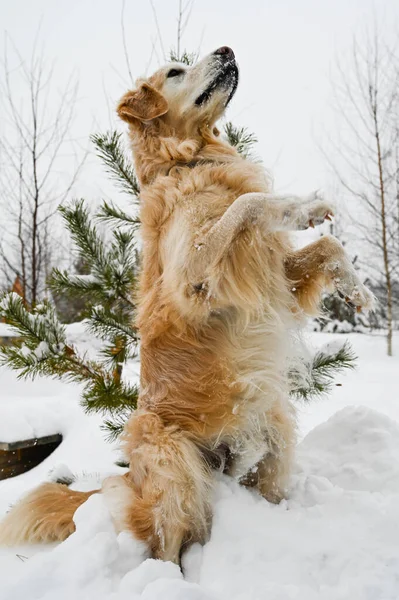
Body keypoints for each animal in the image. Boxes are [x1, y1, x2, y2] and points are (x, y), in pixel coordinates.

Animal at [0, 48, 376, 568]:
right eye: (175, 73)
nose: (227, 50)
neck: (190, 160)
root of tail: (130, 476)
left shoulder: (275, 274)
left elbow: (326, 246)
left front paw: (359, 293)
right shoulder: (192, 278)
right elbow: (250, 203)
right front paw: (294, 207)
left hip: (277, 437)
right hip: (175, 471)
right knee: (165, 545)